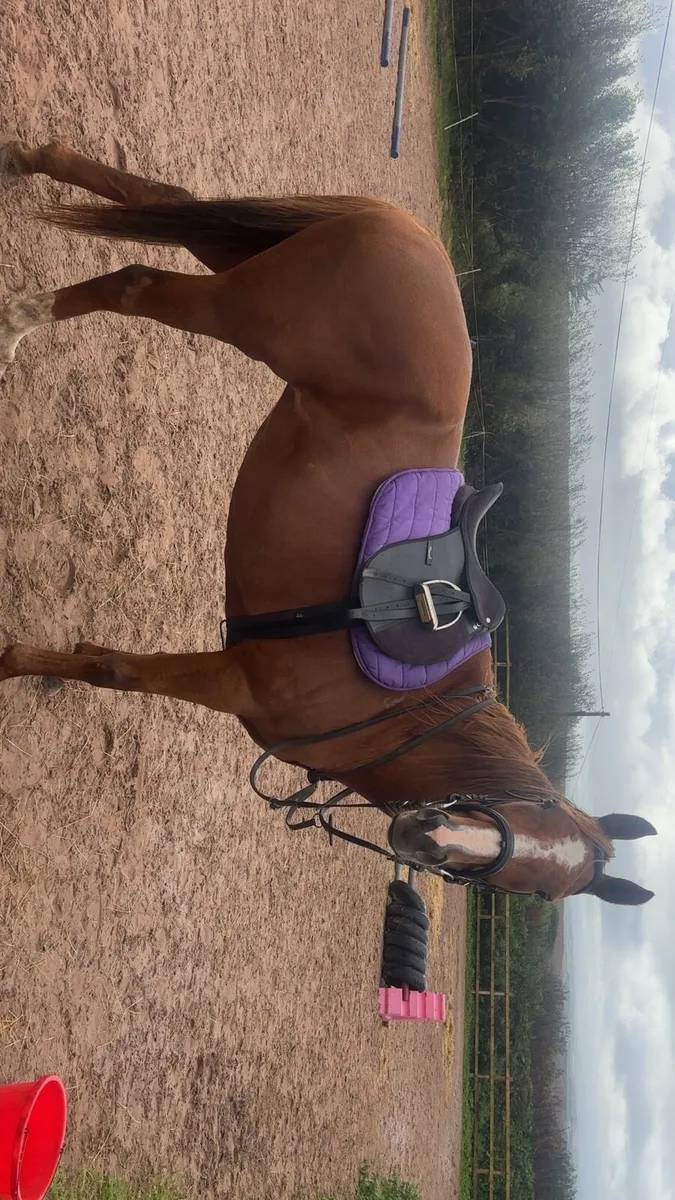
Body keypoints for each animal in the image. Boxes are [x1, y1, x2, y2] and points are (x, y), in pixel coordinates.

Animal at [0, 139, 656, 905]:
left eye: (536, 891)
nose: (430, 836)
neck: (403, 712)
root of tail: (408, 235)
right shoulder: (233, 680)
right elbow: (116, 672)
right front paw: (15, 661)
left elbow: (99, 664)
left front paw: (56, 659)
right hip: (239, 309)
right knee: (135, 283)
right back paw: (17, 322)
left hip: (241, 255)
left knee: (167, 199)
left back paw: (32, 162)